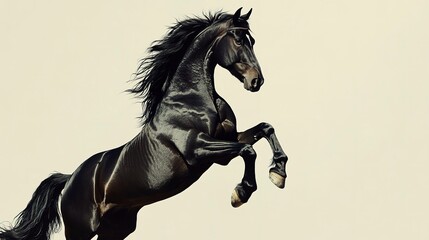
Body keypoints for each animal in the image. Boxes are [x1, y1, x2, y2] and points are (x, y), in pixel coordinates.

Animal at [0, 7, 288, 240]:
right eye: (238, 40)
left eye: (252, 41)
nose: (256, 81)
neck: (193, 98)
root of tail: (70, 178)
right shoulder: (197, 149)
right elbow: (248, 150)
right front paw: (241, 193)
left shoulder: (225, 146)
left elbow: (265, 129)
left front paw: (278, 173)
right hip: (80, 230)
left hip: (115, 229)